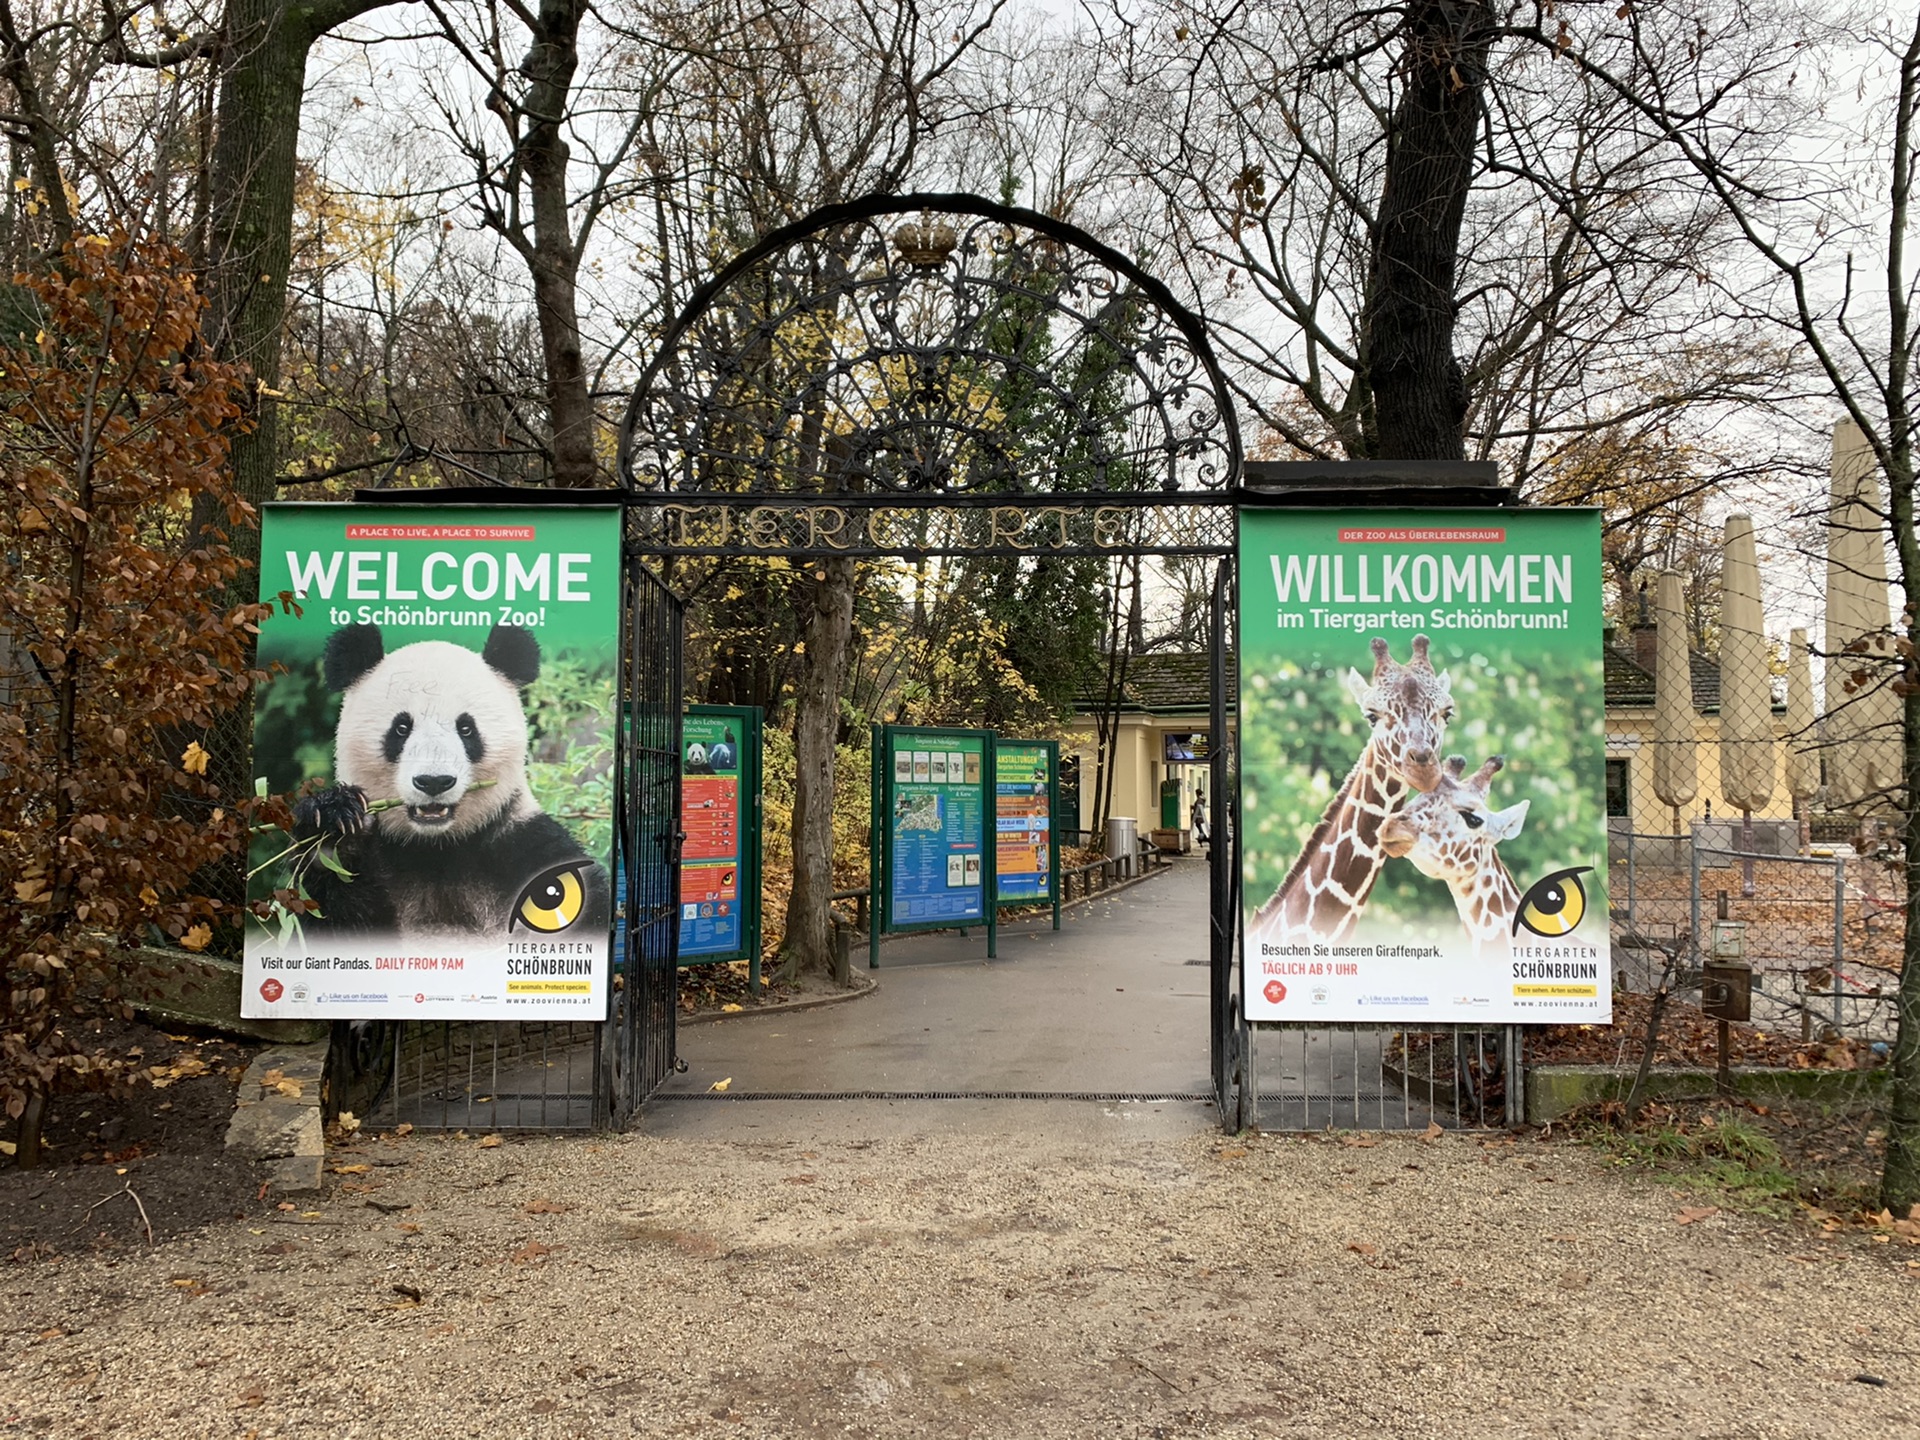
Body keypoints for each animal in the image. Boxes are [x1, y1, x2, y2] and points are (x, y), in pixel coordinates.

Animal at [291, 622, 610, 948]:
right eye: (401, 728)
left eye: (466, 729)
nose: (434, 781)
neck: (436, 848)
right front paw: (333, 829)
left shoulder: (523, 847)